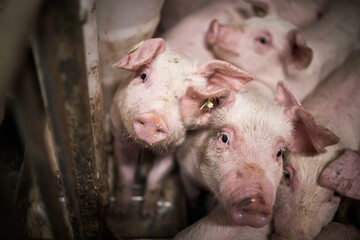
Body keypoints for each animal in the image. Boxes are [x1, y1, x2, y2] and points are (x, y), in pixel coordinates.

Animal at [111, 38, 255, 218]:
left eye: (191, 98)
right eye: (143, 75)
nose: (154, 119)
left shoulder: (172, 151)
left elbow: (155, 179)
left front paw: (149, 214)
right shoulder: (119, 137)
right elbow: (125, 177)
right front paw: (120, 214)